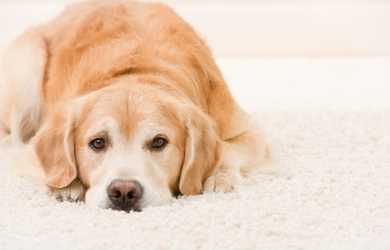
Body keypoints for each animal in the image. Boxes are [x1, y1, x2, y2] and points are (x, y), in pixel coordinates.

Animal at [0, 0, 268, 212]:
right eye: (97, 143)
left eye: (159, 142)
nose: (124, 192)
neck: (137, 73)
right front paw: (67, 185)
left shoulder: (248, 130)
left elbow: (227, 149)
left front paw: (220, 177)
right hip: (29, 59)